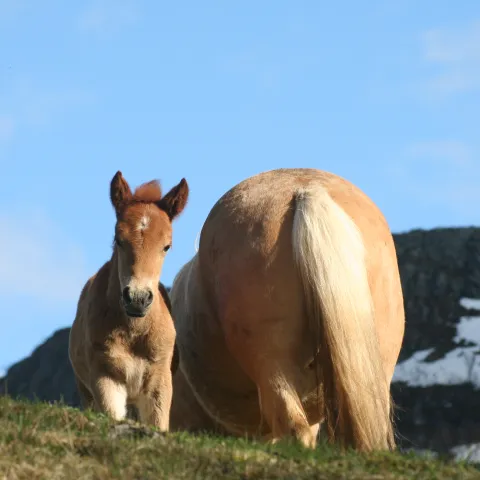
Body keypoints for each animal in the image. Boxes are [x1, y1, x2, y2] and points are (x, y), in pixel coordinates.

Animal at [69, 170, 189, 432]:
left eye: (167, 246)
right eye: (118, 239)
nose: (137, 299)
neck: (134, 334)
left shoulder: (159, 384)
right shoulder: (105, 378)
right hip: (86, 391)